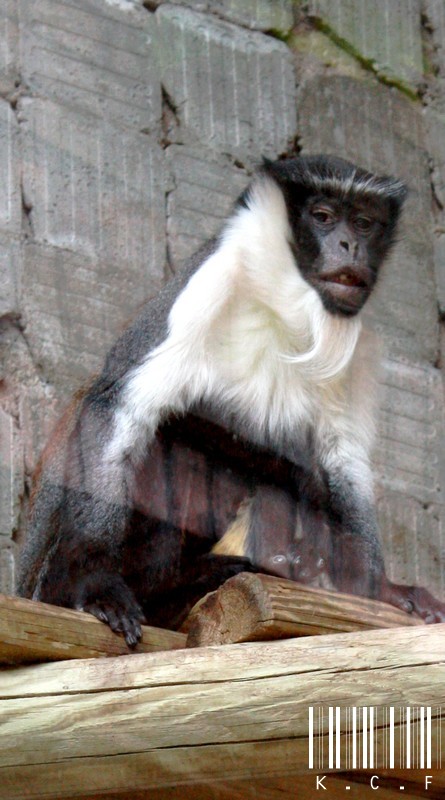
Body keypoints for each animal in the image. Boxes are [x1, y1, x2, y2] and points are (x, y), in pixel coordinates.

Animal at [17, 153, 444, 648]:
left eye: (363, 223)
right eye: (322, 216)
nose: (348, 245)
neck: (288, 304)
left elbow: (341, 462)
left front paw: (382, 587)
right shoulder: (209, 280)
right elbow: (121, 404)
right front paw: (95, 583)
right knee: (173, 431)